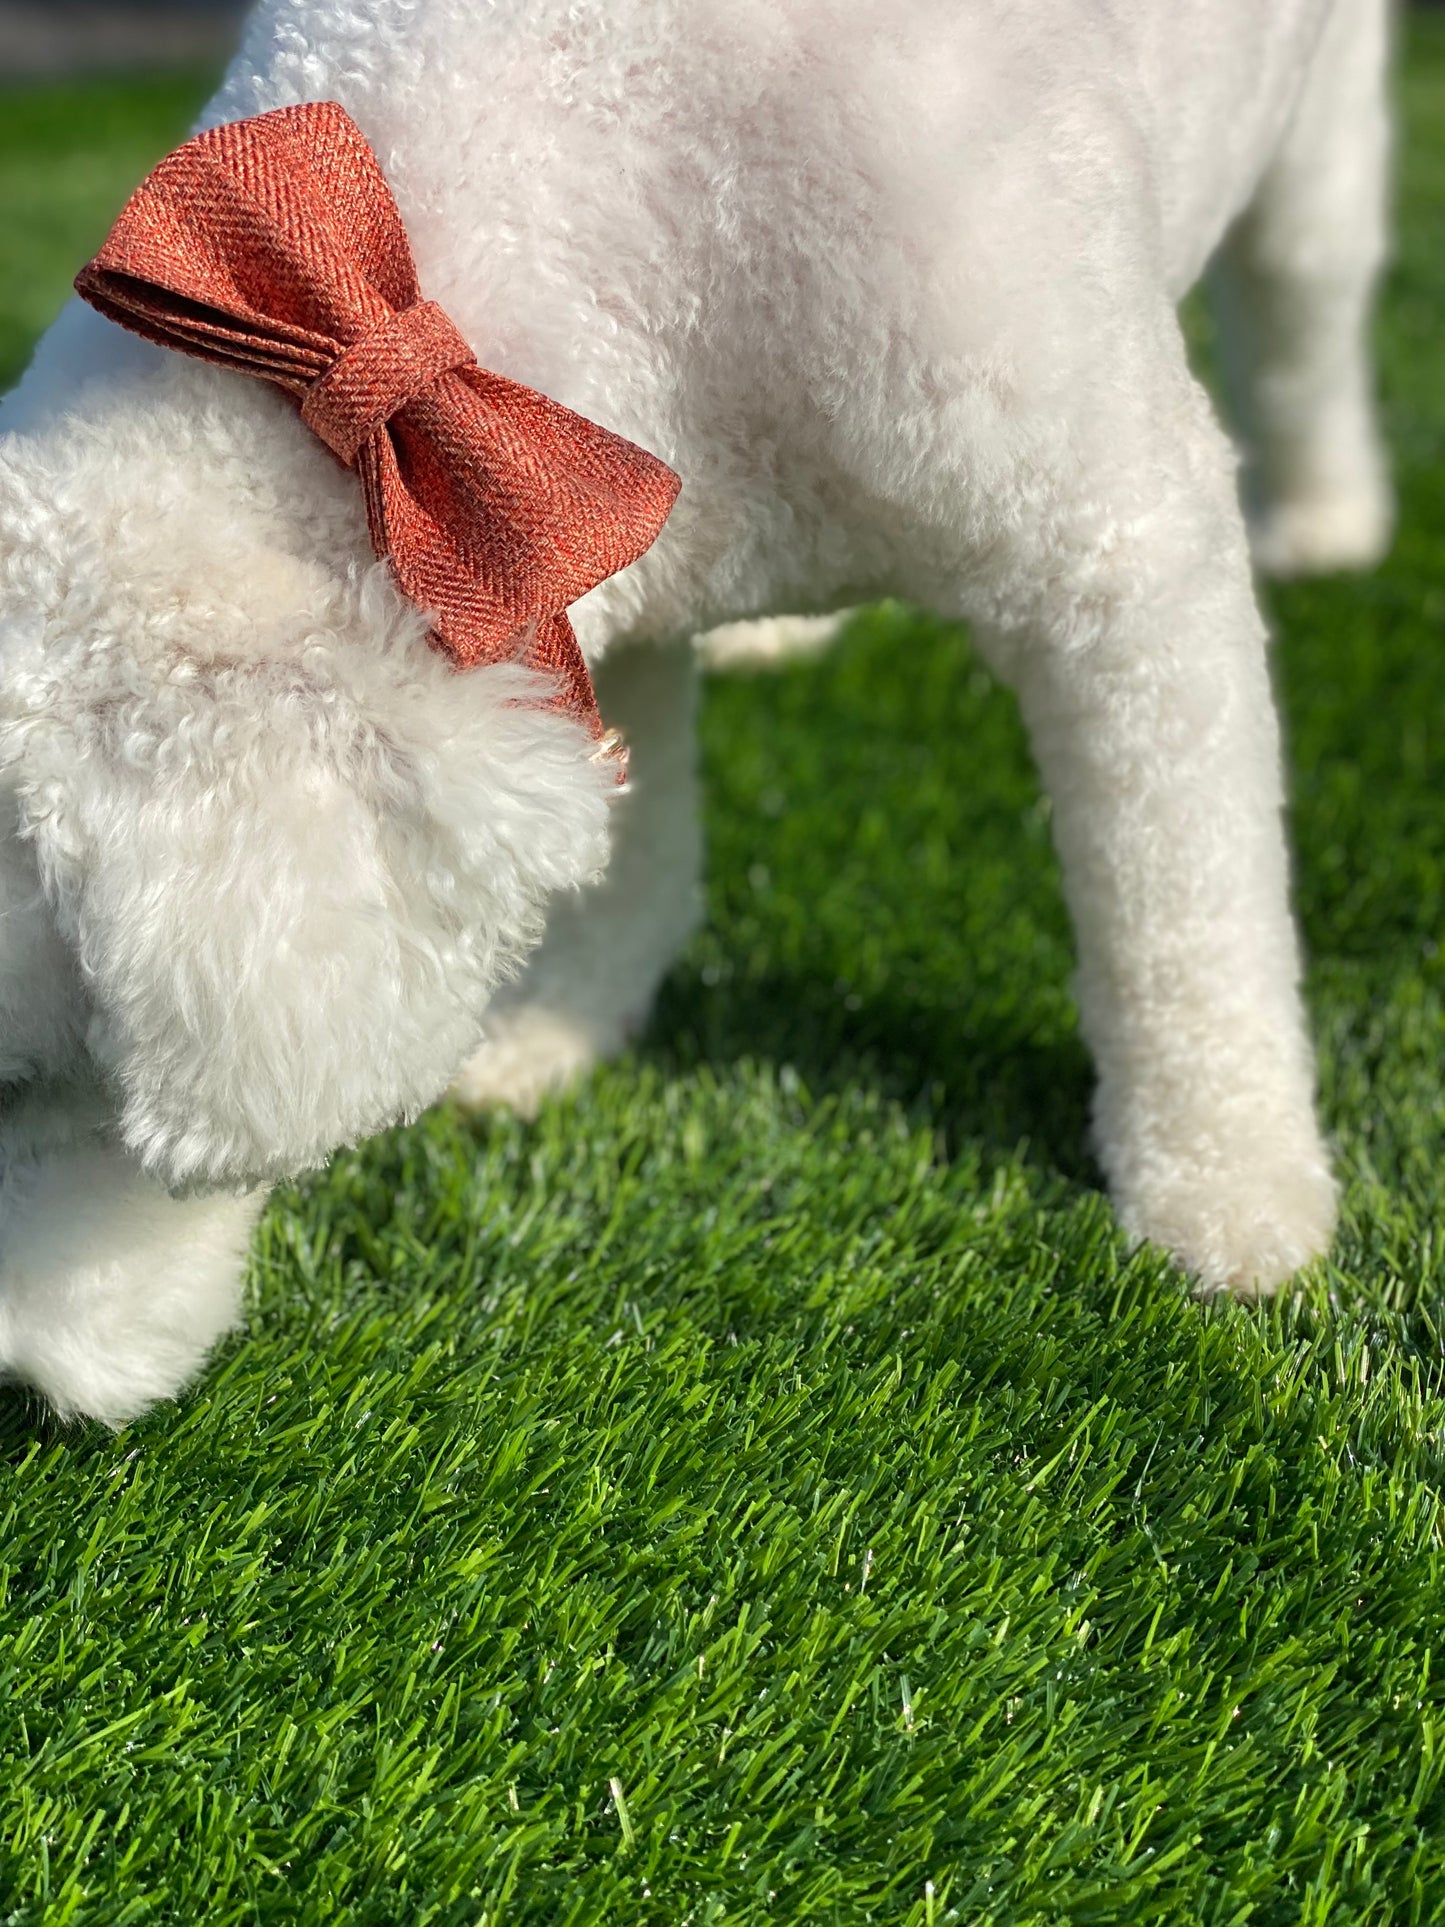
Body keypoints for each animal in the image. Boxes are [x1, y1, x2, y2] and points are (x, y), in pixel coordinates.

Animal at [0, 0, 1394, 1418]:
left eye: (52, 1089)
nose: (20, 1376)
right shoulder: (590, 563)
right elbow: (631, 853)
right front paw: (553, 1027)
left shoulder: (1123, 561)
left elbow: (1185, 920)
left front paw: (1228, 1194)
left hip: (1318, 141)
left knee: (1305, 311)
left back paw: (1327, 522)